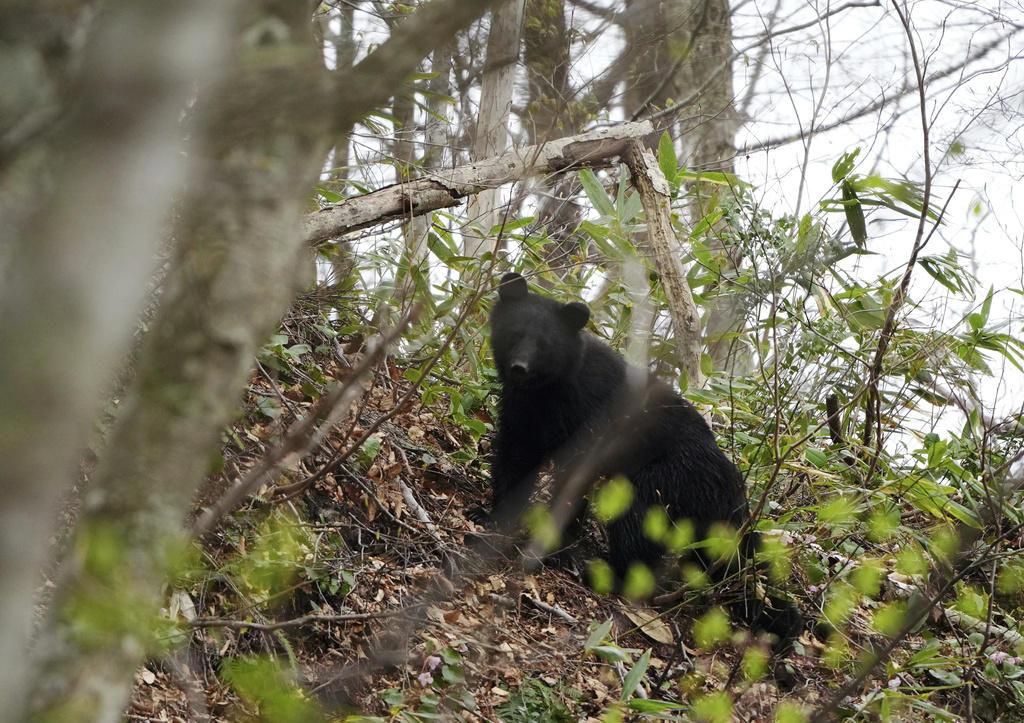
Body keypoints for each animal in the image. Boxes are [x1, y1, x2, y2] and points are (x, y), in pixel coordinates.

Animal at [487, 272, 798, 643]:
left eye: (545, 344)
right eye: (515, 332)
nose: (519, 367)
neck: (546, 390)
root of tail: (730, 491)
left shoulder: (589, 420)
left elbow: (573, 477)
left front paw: (554, 543)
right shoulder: (523, 410)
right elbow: (515, 453)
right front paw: (493, 516)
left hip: (662, 479)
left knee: (636, 525)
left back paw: (609, 574)